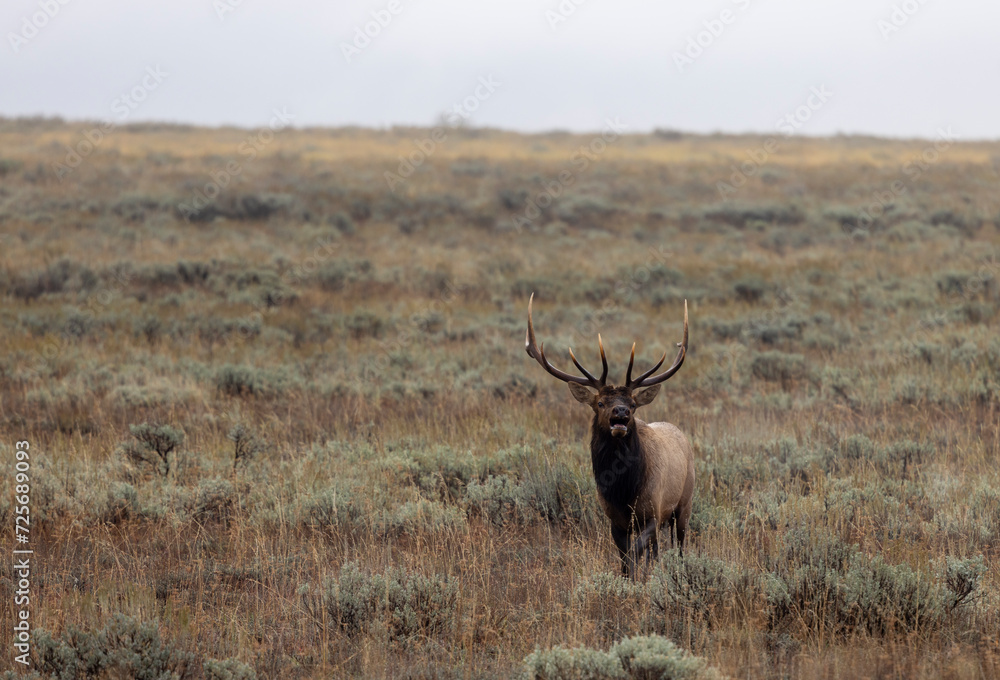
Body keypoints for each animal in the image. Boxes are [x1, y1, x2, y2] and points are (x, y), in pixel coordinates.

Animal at [525, 293, 694, 578]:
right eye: (600, 403)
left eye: (633, 404)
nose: (621, 411)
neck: (623, 490)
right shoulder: (615, 519)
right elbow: (625, 559)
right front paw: (628, 581)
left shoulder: (653, 511)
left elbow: (636, 552)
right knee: (656, 549)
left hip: (684, 504)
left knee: (679, 545)